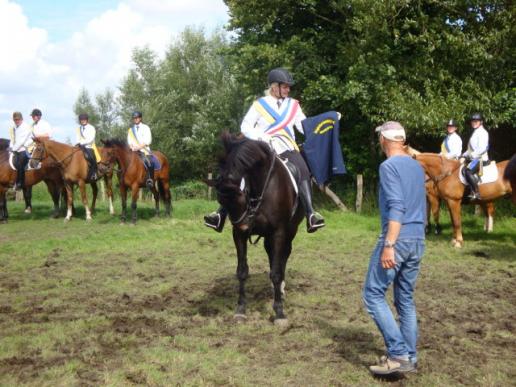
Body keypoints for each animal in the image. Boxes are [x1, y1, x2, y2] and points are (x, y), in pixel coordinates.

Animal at [206, 134, 302, 328]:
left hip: (289, 232)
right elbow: (242, 271)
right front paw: (241, 309)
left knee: (283, 257)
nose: (243, 226)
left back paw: (280, 290)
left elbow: (277, 272)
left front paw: (279, 312)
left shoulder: (279, 232)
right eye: (221, 200)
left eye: (241, 195)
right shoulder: (239, 235)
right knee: (272, 255)